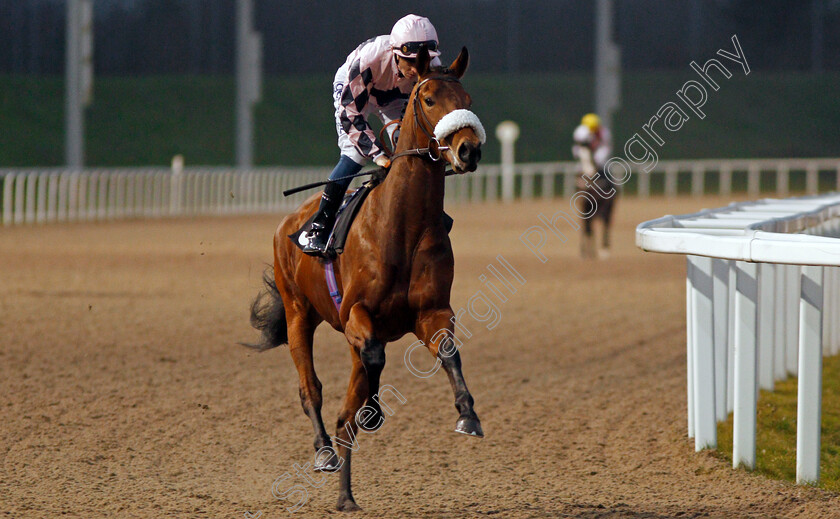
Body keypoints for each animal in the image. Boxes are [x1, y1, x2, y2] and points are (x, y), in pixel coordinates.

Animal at [243, 46, 482, 512]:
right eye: (429, 99)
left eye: (466, 97)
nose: (469, 150)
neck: (402, 227)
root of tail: (288, 222)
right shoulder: (356, 313)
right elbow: (372, 357)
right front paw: (373, 411)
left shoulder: (431, 312)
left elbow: (448, 353)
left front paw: (467, 414)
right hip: (299, 313)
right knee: (312, 389)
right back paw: (325, 453)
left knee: (344, 415)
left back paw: (346, 498)